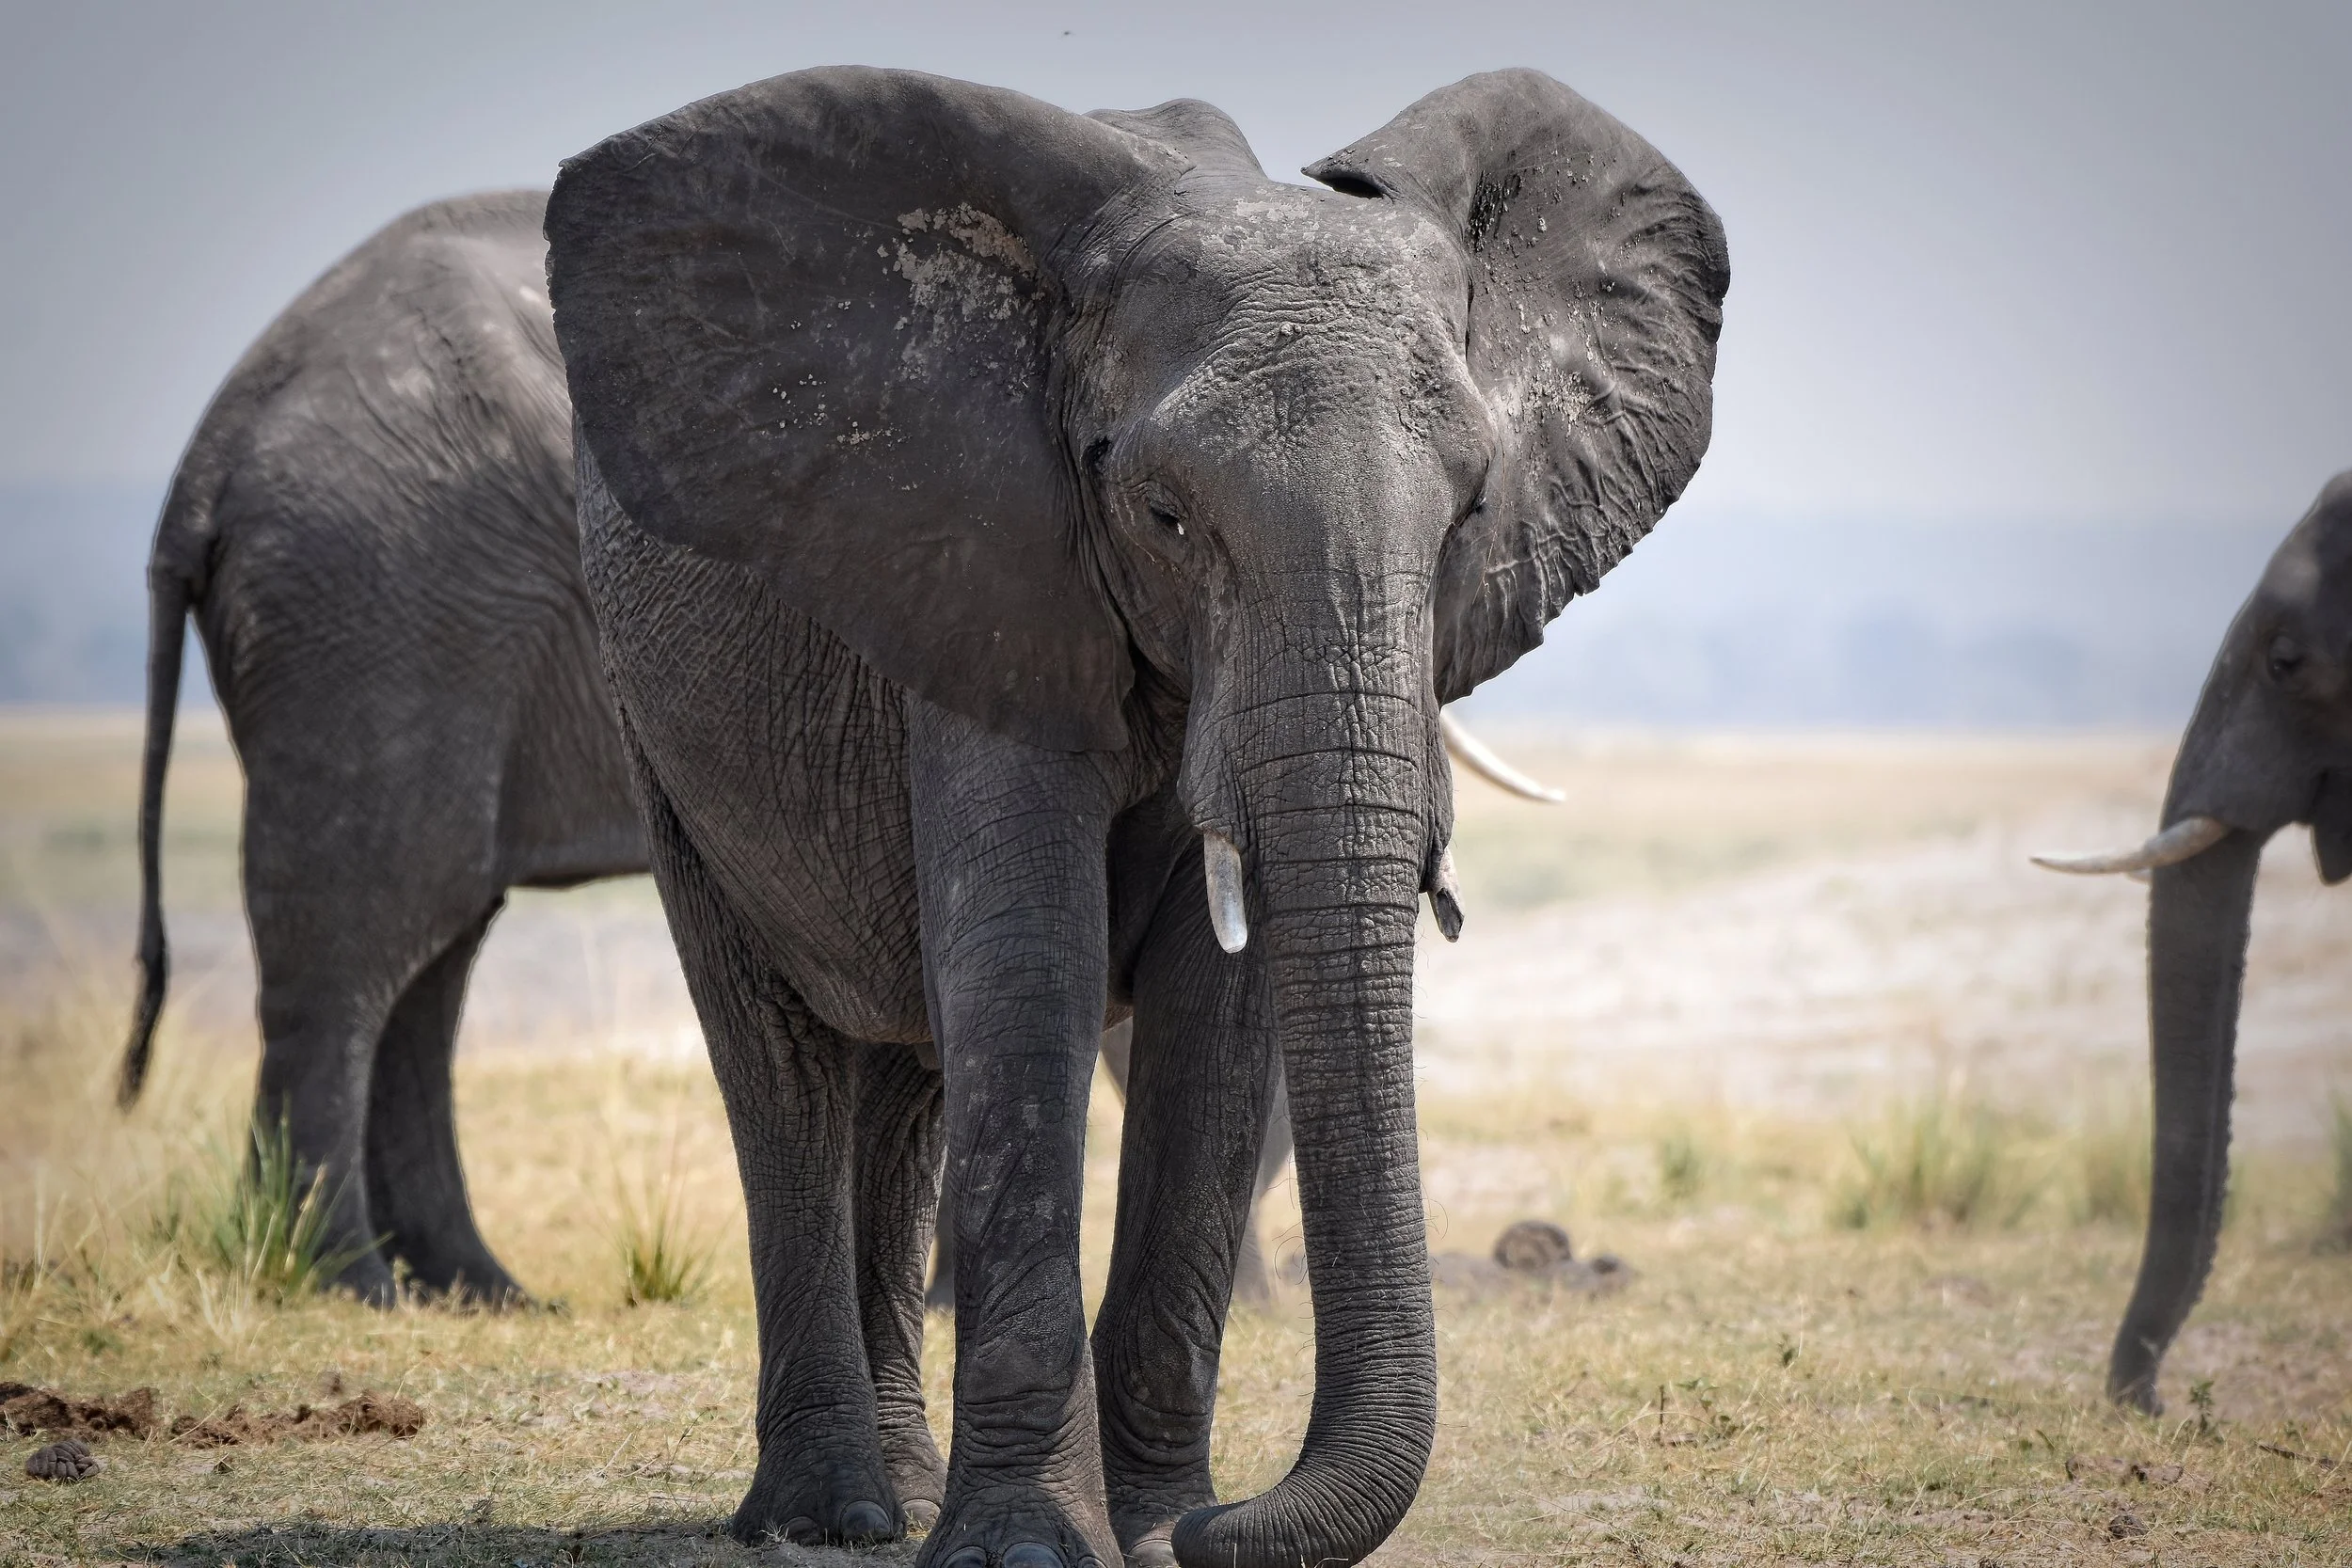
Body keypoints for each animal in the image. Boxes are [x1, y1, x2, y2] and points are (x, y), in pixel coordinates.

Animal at [120, 191, 647, 1304]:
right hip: (385, 591)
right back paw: (346, 1281)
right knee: (367, 930)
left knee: (432, 947)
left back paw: (479, 1291)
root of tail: (208, 451)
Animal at [545, 63, 1724, 1568]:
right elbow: (1028, 961)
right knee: (782, 1060)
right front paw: (1030, 1548)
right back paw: (829, 1515)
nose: (1226, 1517)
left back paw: (905, 1498)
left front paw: (1160, 1528)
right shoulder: (982, 562)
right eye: (1161, 512)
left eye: (1469, 510)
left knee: (910, 1079)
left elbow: (1217, 1008)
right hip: (664, 721)